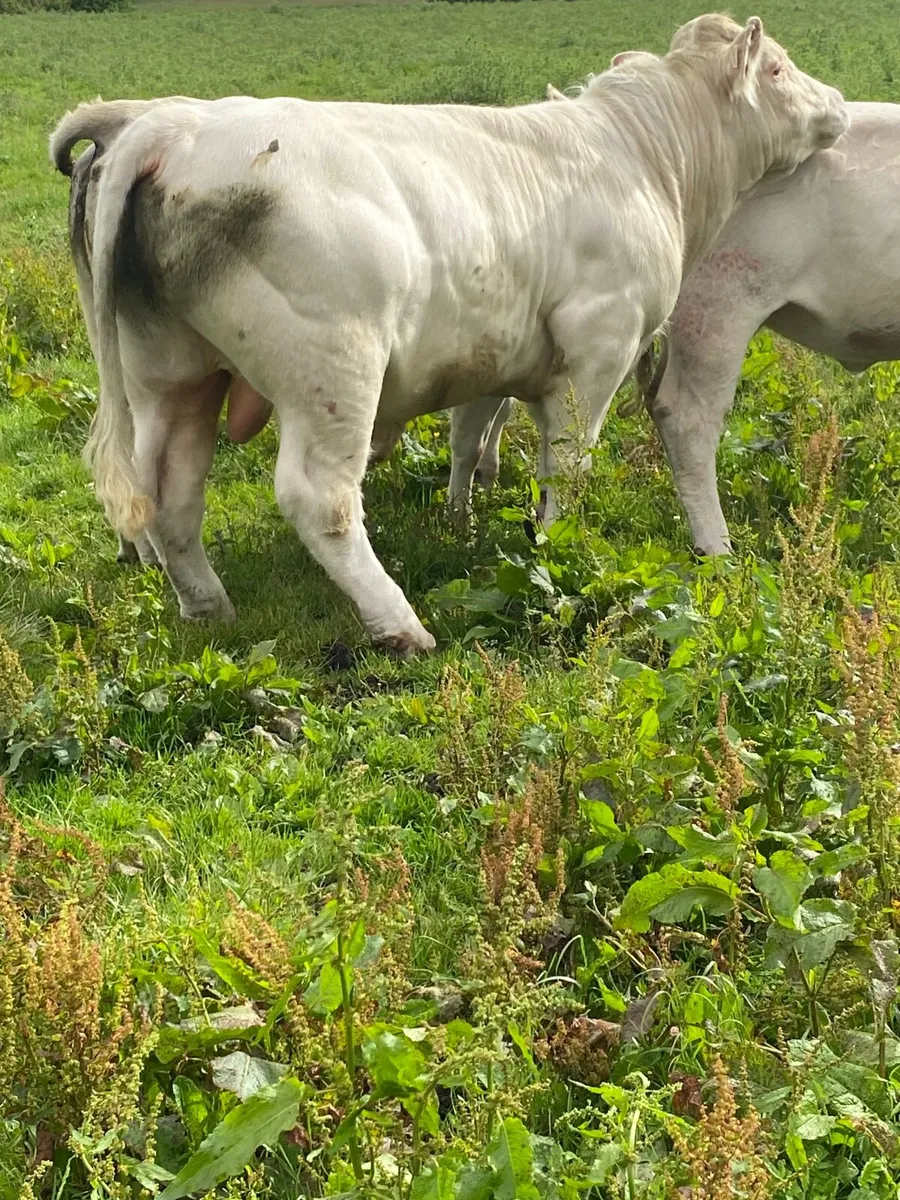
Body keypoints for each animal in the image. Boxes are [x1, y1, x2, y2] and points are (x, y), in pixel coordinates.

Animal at [50, 14, 847, 654]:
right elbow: (567, 465)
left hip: (171, 372)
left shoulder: (495, 358)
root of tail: (175, 126)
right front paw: (555, 548)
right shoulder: (598, 349)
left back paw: (209, 607)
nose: (838, 104)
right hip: (331, 369)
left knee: (169, 492)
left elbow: (474, 436)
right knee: (319, 497)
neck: (647, 159)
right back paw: (400, 625)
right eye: (778, 68)